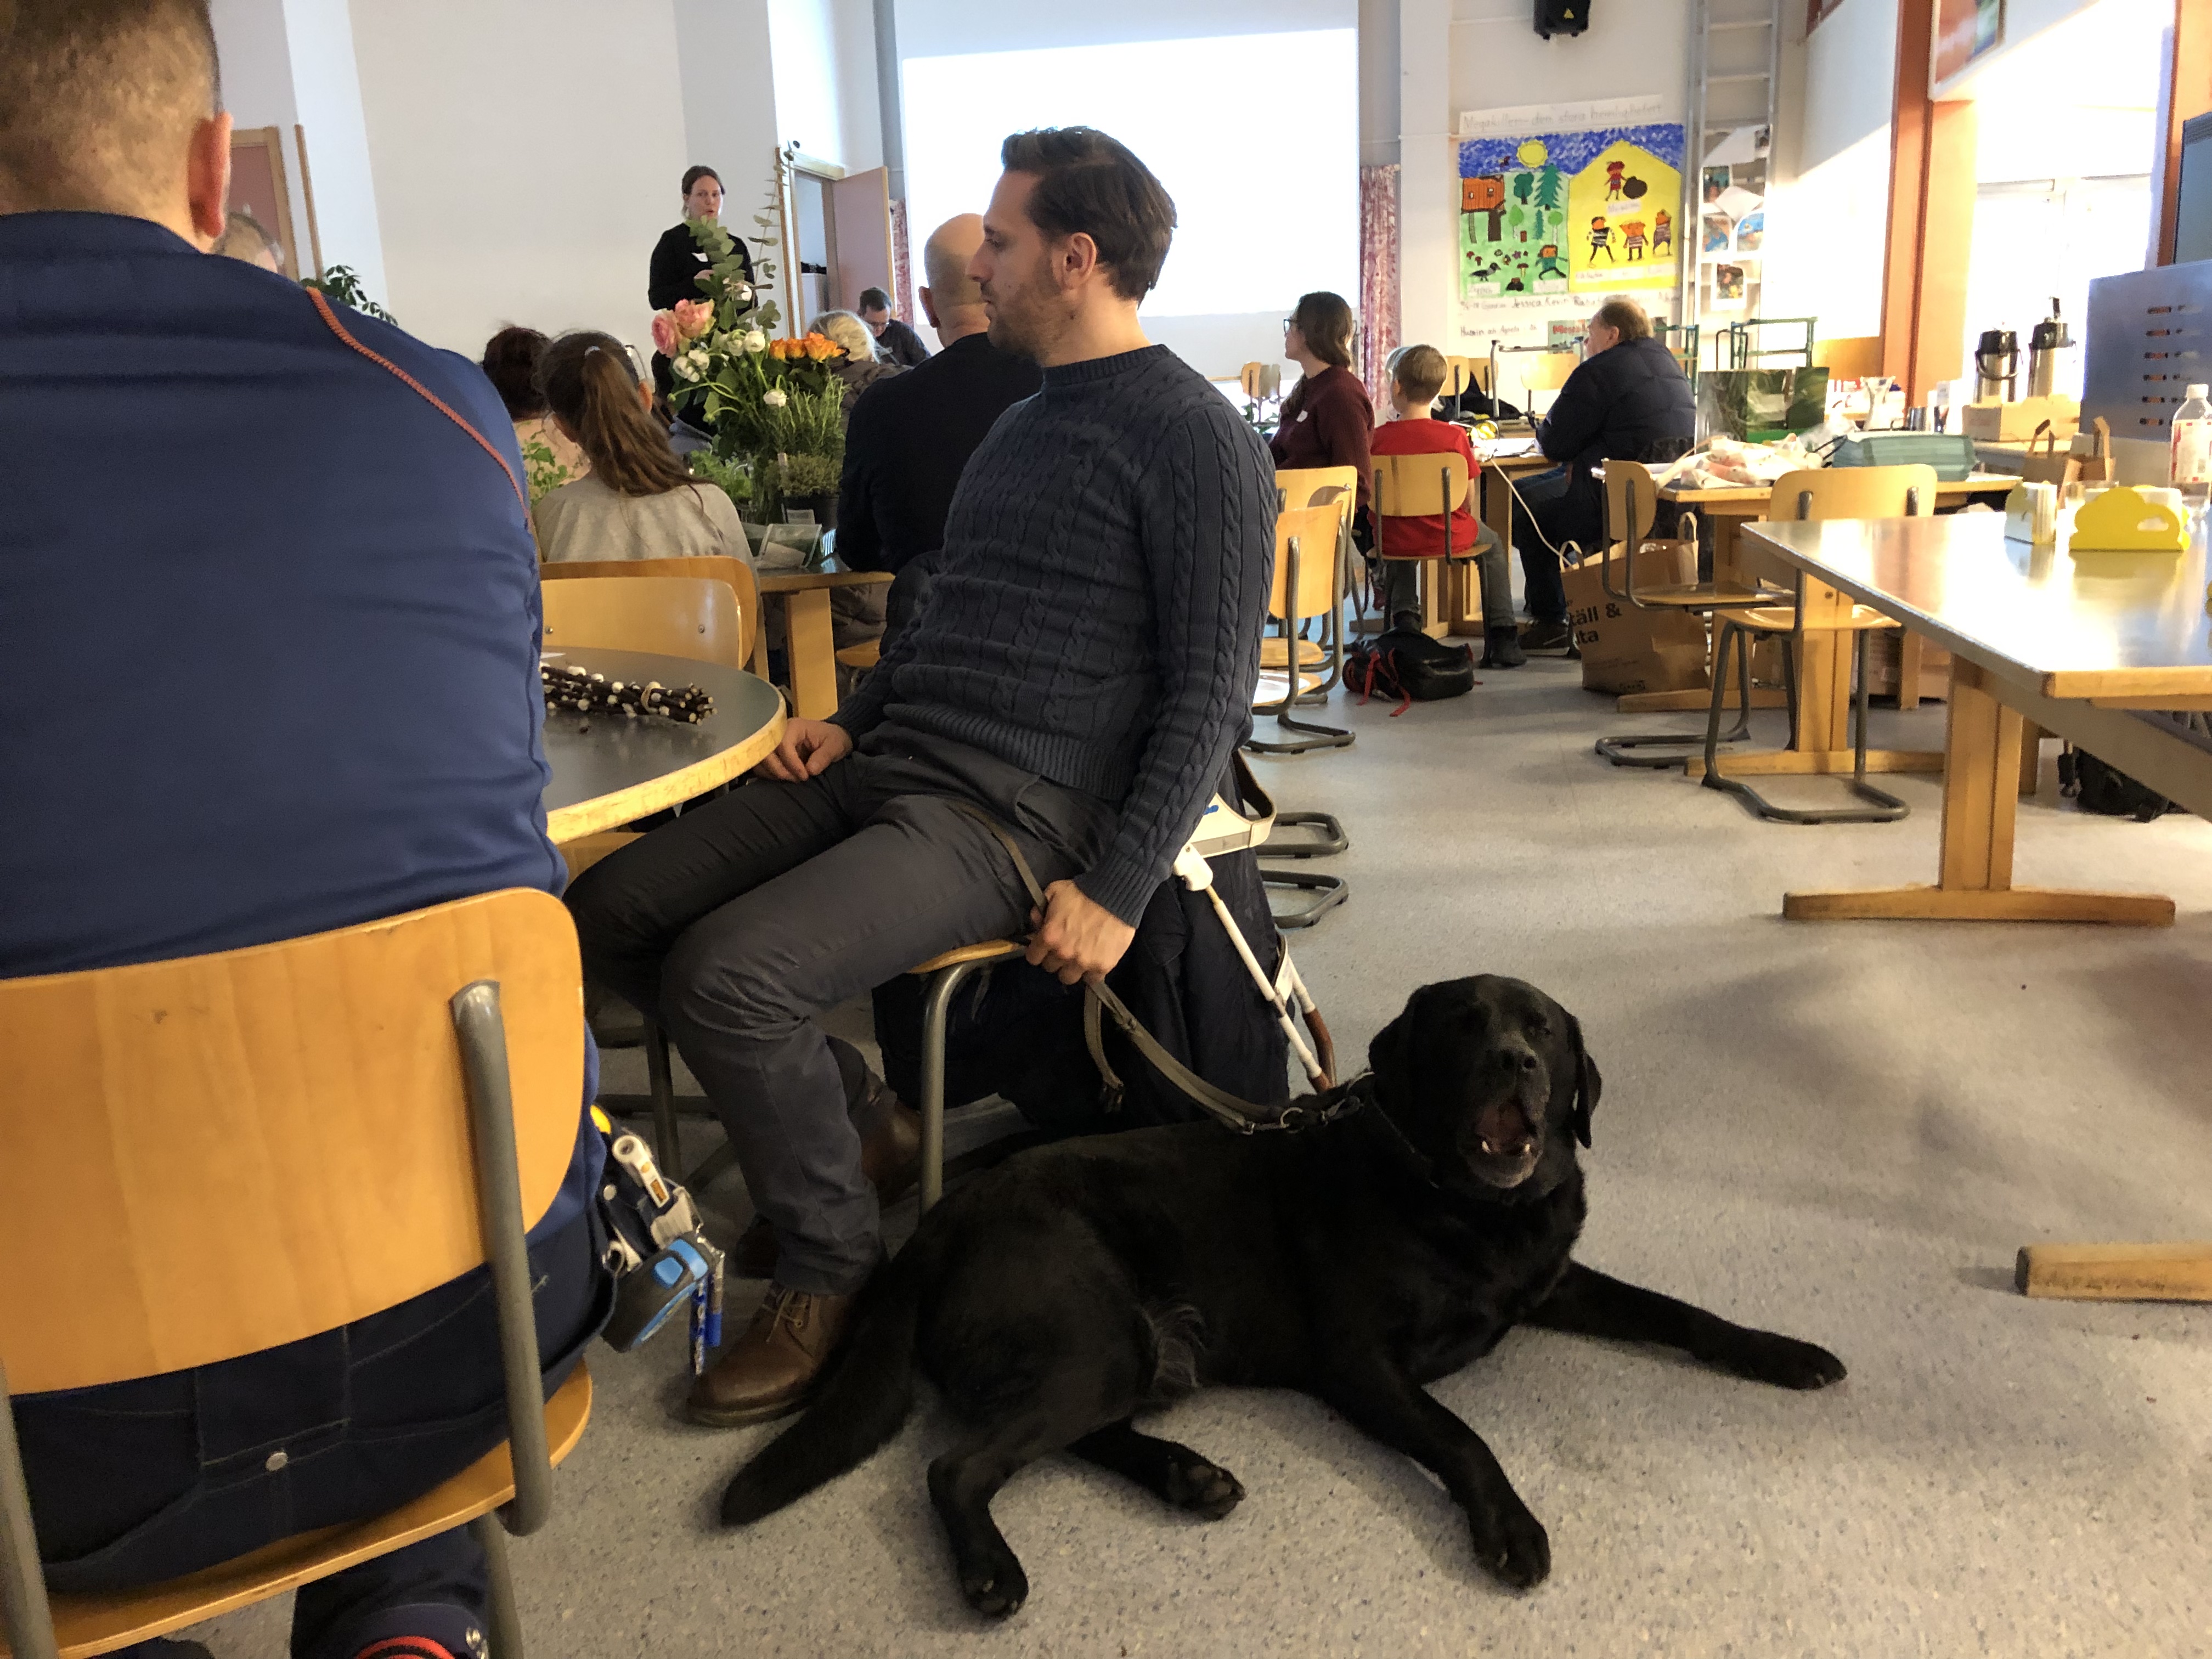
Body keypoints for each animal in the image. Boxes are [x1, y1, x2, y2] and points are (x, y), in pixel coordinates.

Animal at [716, 982, 1840, 1619]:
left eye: (1545, 1034)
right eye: (1463, 1026)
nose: (1516, 1063)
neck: (1455, 1198)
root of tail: (938, 1221)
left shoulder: (1550, 1280)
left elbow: (1682, 1313)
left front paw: (1784, 1352)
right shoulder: (1361, 1363)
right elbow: (1463, 1435)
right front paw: (1509, 1527)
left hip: (1122, 1350)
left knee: (1069, 1433)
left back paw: (1187, 1475)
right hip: (1093, 1336)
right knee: (958, 1463)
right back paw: (993, 1571)